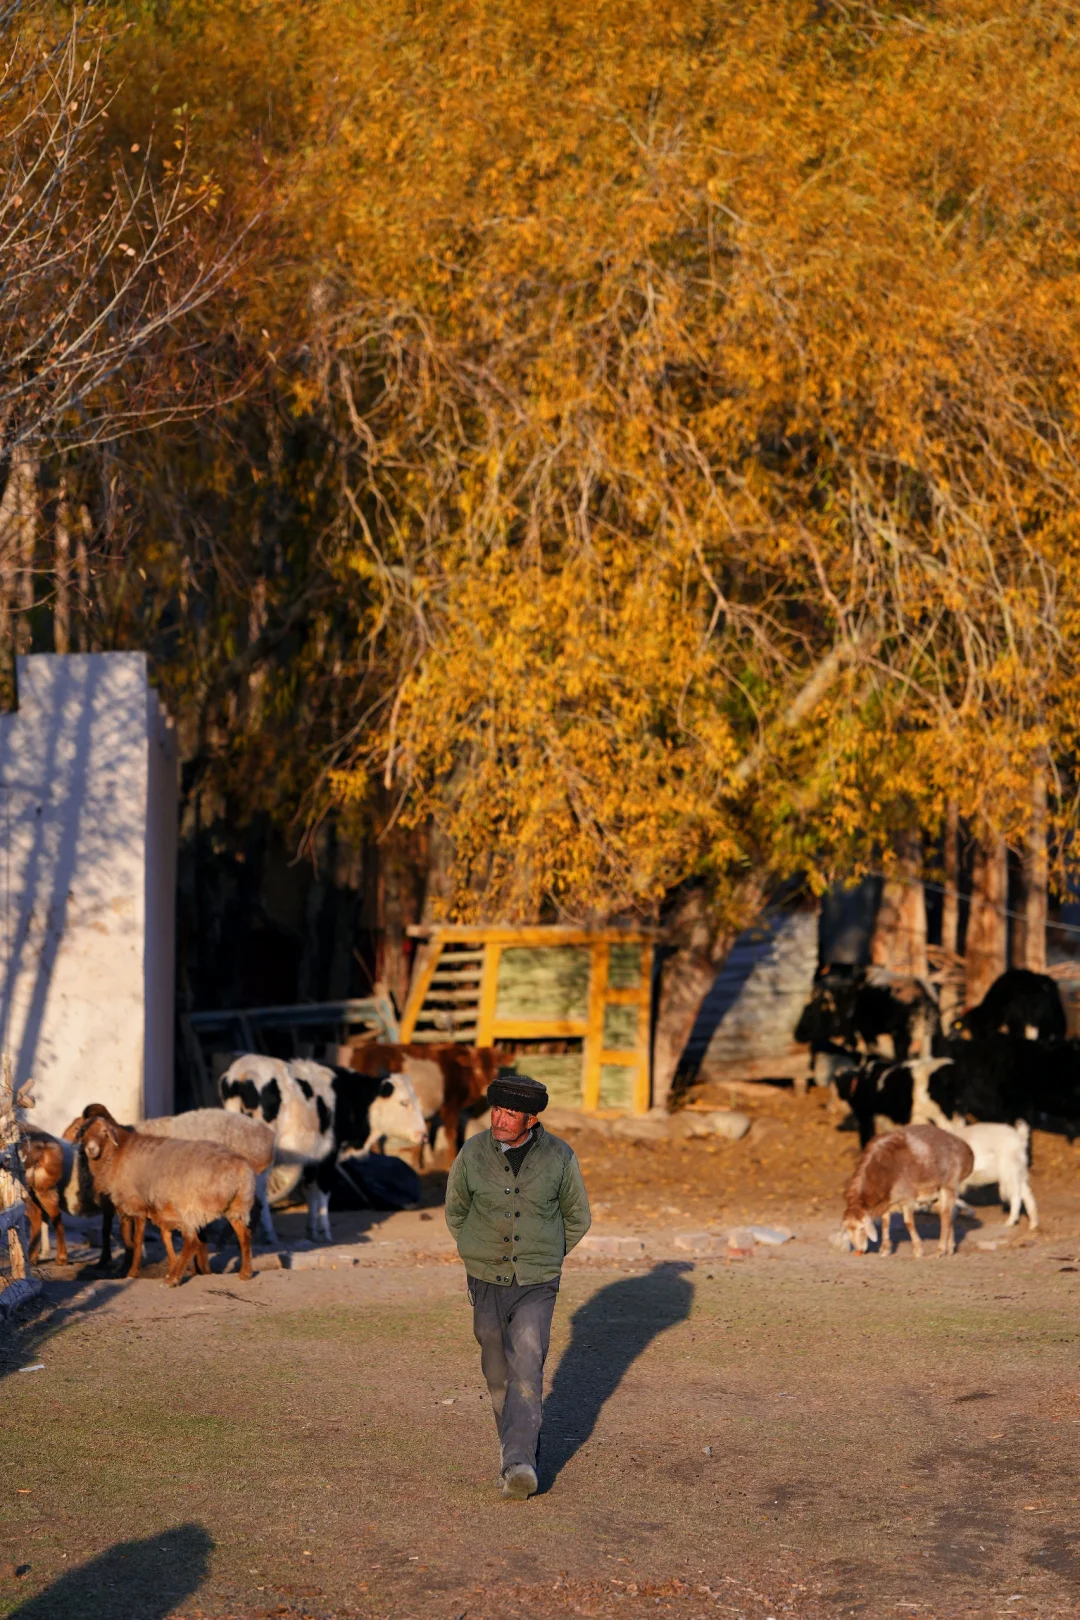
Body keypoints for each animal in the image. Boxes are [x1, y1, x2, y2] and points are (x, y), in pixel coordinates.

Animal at [81, 1114, 257, 1276]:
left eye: (104, 1132)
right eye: (84, 1133)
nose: (90, 1149)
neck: (118, 1153)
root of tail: (241, 1168)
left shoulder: (137, 1204)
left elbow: (137, 1240)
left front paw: (132, 1272)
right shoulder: (137, 1208)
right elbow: (137, 1238)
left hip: (194, 1207)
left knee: (197, 1240)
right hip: (236, 1206)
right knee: (244, 1235)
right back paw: (244, 1272)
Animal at [220, 1056, 427, 1244]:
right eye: (404, 1102)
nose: (423, 1134)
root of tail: (241, 1074)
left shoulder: (312, 1159)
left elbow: (311, 1192)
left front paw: (311, 1231)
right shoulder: (329, 1156)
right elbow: (323, 1193)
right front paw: (324, 1232)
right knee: (260, 1191)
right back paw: (268, 1234)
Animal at [841, 1121, 977, 1257]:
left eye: (862, 1228)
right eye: (848, 1230)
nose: (859, 1250)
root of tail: (967, 1151)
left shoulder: (907, 1198)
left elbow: (908, 1223)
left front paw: (918, 1250)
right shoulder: (887, 1201)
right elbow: (885, 1222)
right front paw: (885, 1249)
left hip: (949, 1185)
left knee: (945, 1216)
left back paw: (940, 1250)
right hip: (936, 1193)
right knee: (948, 1214)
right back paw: (949, 1249)